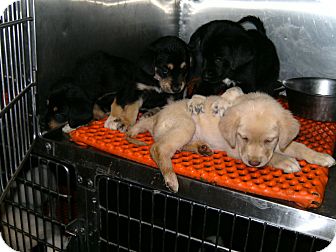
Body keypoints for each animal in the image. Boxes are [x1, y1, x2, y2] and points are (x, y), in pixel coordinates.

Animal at [127, 87, 334, 192]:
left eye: (268, 140)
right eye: (244, 138)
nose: (254, 163)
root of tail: (156, 117)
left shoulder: (281, 142)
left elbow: (299, 146)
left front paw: (320, 157)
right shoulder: (235, 150)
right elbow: (275, 157)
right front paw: (285, 161)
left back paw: (202, 148)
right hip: (186, 125)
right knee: (158, 148)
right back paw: (171, 178)